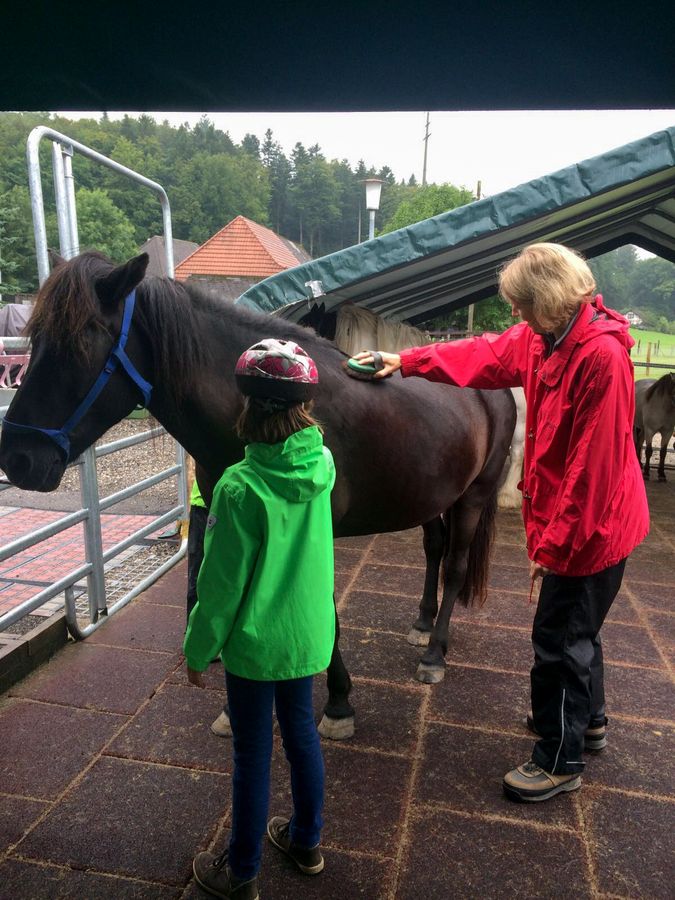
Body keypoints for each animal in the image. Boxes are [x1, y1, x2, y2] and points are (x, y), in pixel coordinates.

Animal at [0, 251, 515, 740]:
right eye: (36, 338)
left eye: (81, 338)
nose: (17, 458)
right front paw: (236, 709)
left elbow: (324, 607)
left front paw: (338, 703)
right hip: (432, 496)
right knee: (434, 549)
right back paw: (422, 625)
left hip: (473, 496)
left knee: (455, 566)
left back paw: (434, 654)